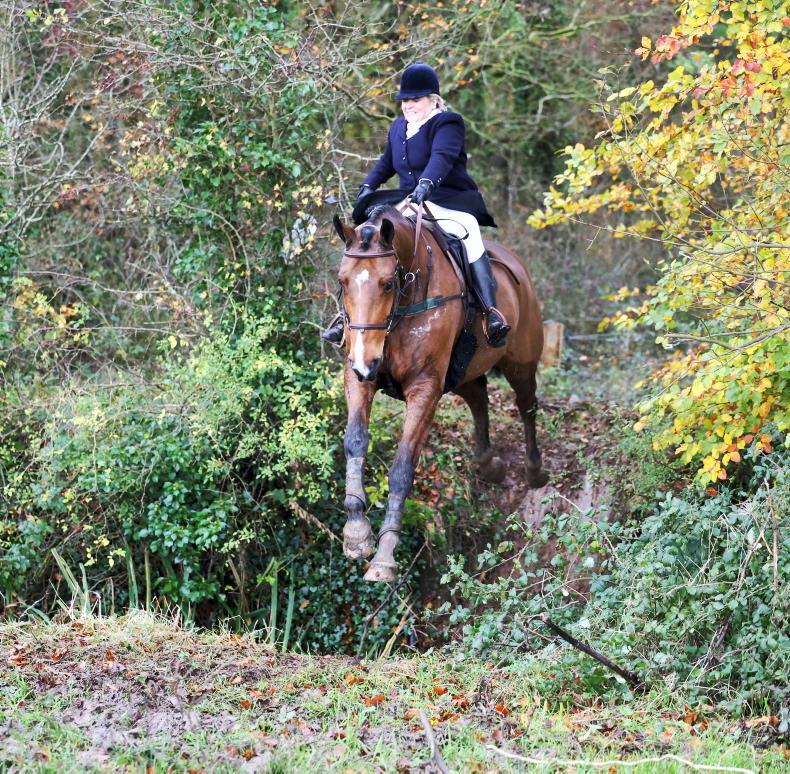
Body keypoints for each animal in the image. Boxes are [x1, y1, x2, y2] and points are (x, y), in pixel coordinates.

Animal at [333, 202, 547, 582]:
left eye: (387, 283)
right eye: (343, 282)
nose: (364, 359)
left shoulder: (425, 388)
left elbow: (402, 468)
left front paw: (385, 555)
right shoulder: (359, 377)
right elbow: (355, 442)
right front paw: (356, 533)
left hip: (520, 362)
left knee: (527, 406)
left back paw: (535, 471)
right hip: (463, 372)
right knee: (479, 400)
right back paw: (487, 463)